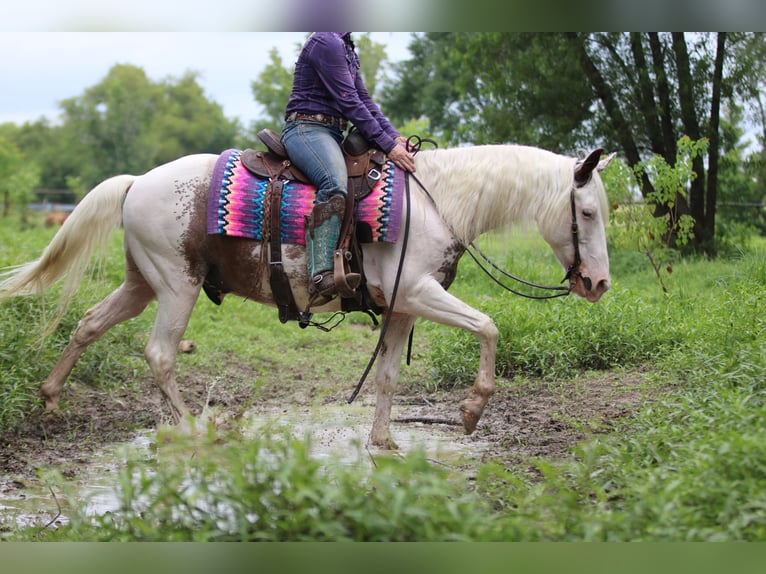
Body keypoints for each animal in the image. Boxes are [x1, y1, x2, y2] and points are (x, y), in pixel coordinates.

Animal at [0, 144, 614, 449]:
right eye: (586, 212)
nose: (598, 284)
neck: (434, 201)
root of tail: (136, 182)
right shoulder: (419, 291)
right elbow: (488, 325)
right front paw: (470, 411)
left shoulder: (403, 305)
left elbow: (388, 375)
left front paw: (383, 441)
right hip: (176, 285)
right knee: (160, 355)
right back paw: (196, 428)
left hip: (140, 281)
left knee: (89, 322)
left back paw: (51, 397)